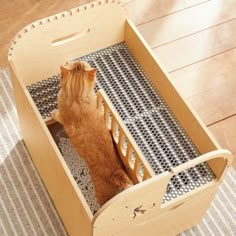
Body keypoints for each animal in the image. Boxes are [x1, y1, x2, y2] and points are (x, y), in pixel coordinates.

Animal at [52, 61, 133, 206]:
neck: (77, 97)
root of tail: (115, 172)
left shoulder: (62, 115)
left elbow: (57, 115)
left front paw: (53, 113)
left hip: (101, 194)